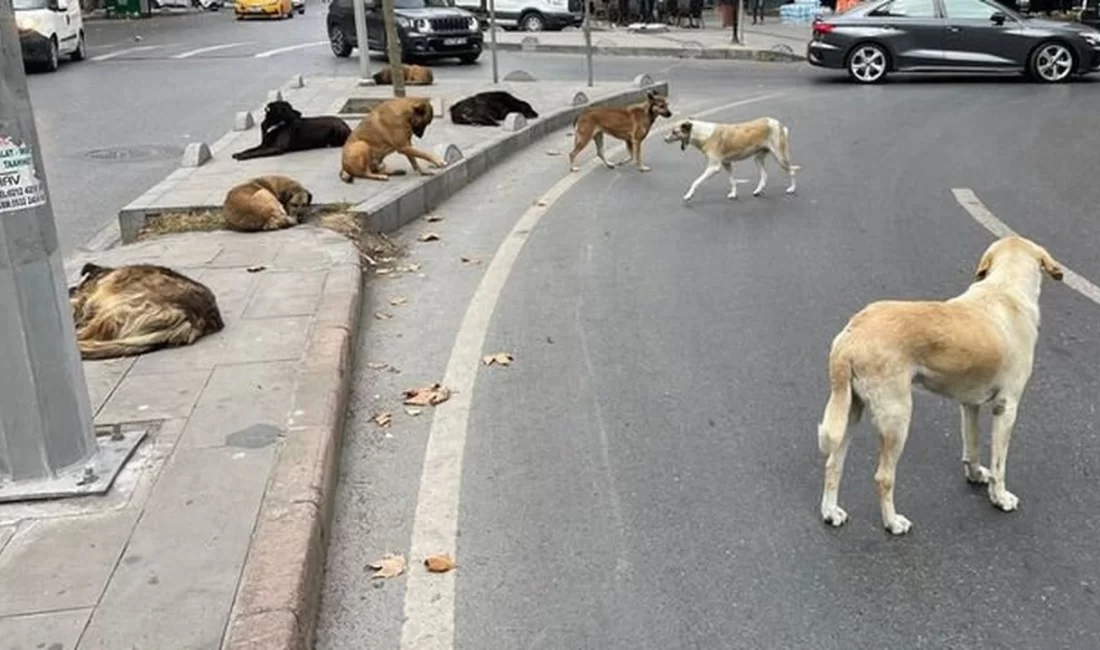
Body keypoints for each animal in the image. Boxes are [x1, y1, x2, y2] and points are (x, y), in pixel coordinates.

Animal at [660, 114, 800, 201]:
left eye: (674, 132)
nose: (664, 139)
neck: (702, 133)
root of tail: (779, 123)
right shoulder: (726, 164)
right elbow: (732, 181)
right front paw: (733, 194)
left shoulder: (714, 167)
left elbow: (695, 182)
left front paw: (689, 195)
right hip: (758, 158)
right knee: (764, 175)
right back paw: (758, 191)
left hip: (780, 157)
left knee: (792, 171)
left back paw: (792, 189)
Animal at [818, 236, 1064, 536]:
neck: (1005, 289)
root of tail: (852, 335)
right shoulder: (1007, 408)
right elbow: (1000, 465)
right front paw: (1000, 498)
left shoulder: (969, 405)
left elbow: (972, 447)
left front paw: (976, 475)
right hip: (897, 418)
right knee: (883, 477)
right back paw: (892, 523)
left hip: (849, 411)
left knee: (833, 464)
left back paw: (830, 512)